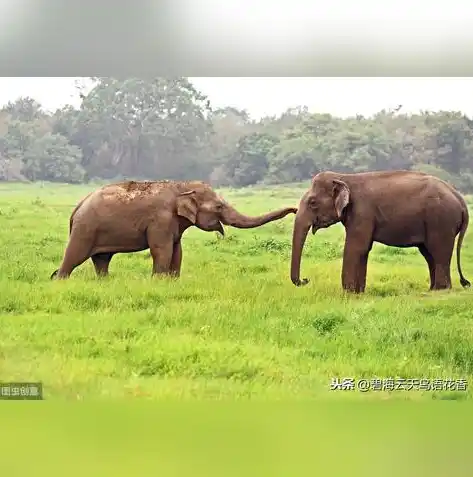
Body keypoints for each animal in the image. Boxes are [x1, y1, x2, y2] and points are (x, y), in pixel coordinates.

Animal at [49, 181, 296, 278]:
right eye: (218, 206)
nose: (295, 209)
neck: (182, 187)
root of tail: (77, 207)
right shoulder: (161, 220)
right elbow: (162, 250)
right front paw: (158, 281)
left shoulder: (174, 225)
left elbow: (177, 251)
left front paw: (172, 281)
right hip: (85, 229)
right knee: (74, 257)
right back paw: (58, 280)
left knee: (102, 260)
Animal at [290, 169, 470, 292]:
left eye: (313, 202)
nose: (305, 280)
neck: (344, 177)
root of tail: (460, 199)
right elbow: (363, 249)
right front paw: (358, 293)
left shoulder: (362, 212)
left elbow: (356, 247)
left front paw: (347, 293)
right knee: (428, 253)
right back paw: (433, 289)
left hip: (441, 220)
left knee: (438, 251)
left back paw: (441, 290)